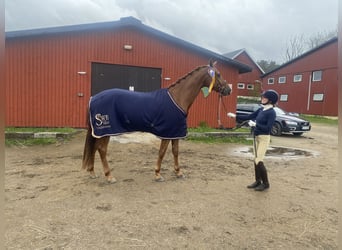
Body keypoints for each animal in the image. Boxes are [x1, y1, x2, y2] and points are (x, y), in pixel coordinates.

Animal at [82, 59, 231, 183]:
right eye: (218, 74)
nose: (228, 90)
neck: (178, 98)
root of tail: (94, 98)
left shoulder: (175, 132)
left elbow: (175, 151)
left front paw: (178, 172)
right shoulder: (167, 132)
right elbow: (162, 152)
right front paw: (158, 174)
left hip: (99, 133)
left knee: (94, 148)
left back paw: (92, 172)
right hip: (106, 131)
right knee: (101, 150)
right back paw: (109, 176)